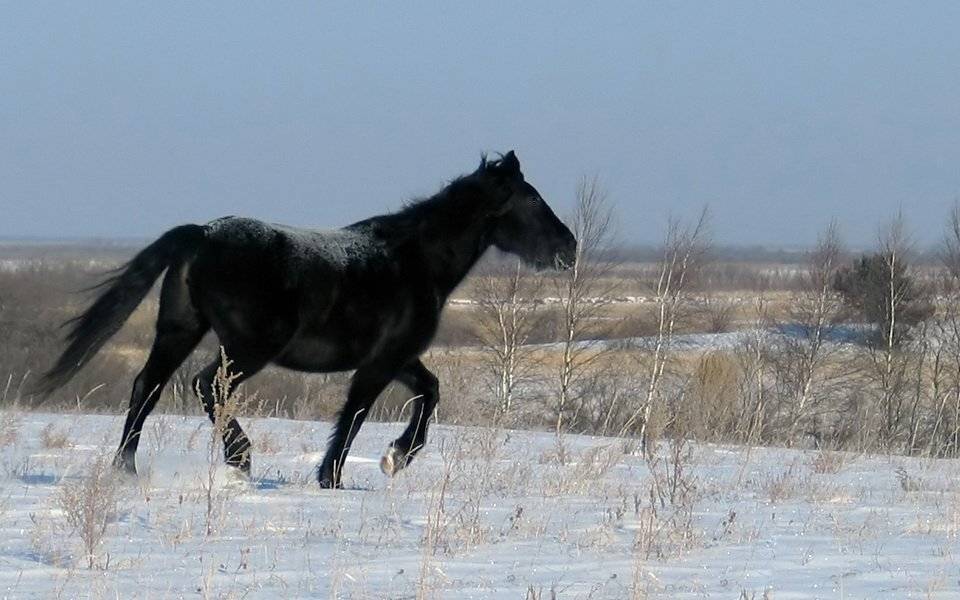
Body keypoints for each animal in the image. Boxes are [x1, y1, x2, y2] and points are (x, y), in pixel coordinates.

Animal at [38, 151, 577, 488]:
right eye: (531, 199)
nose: (569, 248)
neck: (415, 261)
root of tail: (201, 233)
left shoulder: (400, 357)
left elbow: (430, 393)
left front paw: (396, 458)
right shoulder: (380, 363)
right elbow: (355, 414)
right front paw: (337, 477)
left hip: (180, 330)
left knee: (147, 387)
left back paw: (126, 469)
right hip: (248, 346)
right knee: (205, 385)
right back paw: (241, 460)